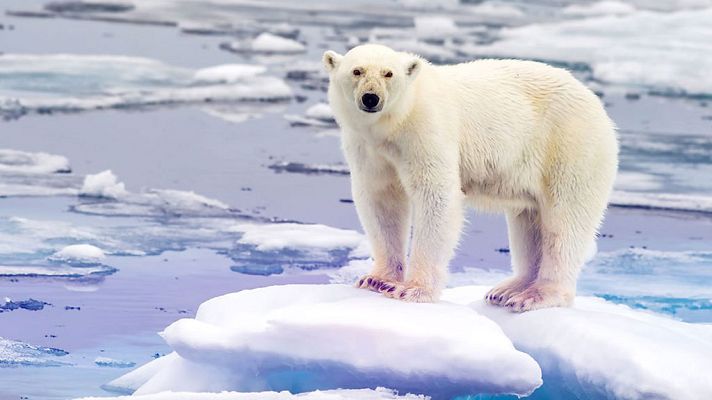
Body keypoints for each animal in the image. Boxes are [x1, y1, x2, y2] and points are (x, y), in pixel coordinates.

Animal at [323, 44, 618, 312]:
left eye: (388, 73)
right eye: (357, 71)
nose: (371, 98)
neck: (395, 124)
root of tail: (597, 105)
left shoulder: (426, 131)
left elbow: (436, 196)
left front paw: (413, 290)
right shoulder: (368, 148)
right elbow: (381, 200)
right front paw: (377, 280)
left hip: (569, 146)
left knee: (565, 220)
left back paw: (536, 295)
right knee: (530, 220)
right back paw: (508, 290)